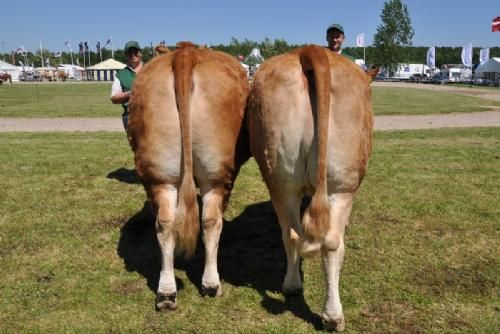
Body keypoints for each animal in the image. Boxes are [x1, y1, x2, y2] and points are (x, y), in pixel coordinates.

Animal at [126, 41, 249, 310]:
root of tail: (185, 53)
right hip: (217, 174)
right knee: (211, 221)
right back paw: (211, 284)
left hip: (160, 174)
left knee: (165, 223)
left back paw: (166, 292)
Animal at [248, 44, 374, 332]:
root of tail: (310, 50)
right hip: (341, 187)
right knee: (332, 243)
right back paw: (333, 315)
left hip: (281, 181)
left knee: (293, 234)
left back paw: (292, 285)